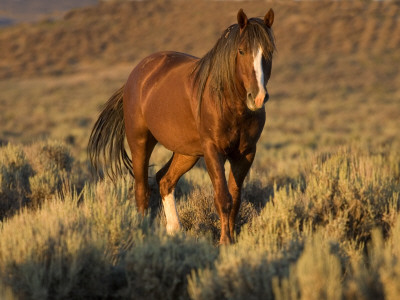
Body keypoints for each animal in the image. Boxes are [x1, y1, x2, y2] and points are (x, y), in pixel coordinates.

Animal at [87, 9, 276, 244]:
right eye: (241, 51)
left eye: (269, 52)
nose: (257, 97)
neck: (228, 102)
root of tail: (136, 74)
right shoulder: (213, 151)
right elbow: (223, 198)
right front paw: (224, 242)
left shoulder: (246, 153)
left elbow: (235, 199)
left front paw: (231, 240)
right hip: (140, 141)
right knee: (142, 190)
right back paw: (144, 233)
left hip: (187, 153)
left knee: (165, 180)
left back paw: (174, 230)